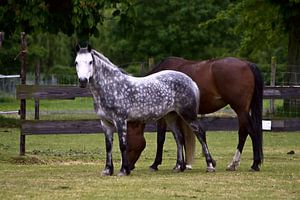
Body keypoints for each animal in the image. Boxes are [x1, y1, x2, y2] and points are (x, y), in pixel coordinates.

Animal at [126, 56, 262, 172]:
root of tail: (247, 63)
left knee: (251, 131)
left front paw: (155, 164)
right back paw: (234, 164)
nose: (129, 166)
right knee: (243, 133)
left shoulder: (164, 115)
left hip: (240, 109)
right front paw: (181, 164)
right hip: (243, 110)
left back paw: (254, 164)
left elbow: (161, 138)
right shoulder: (176, 114)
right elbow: (181, 137)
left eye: (127, 142)